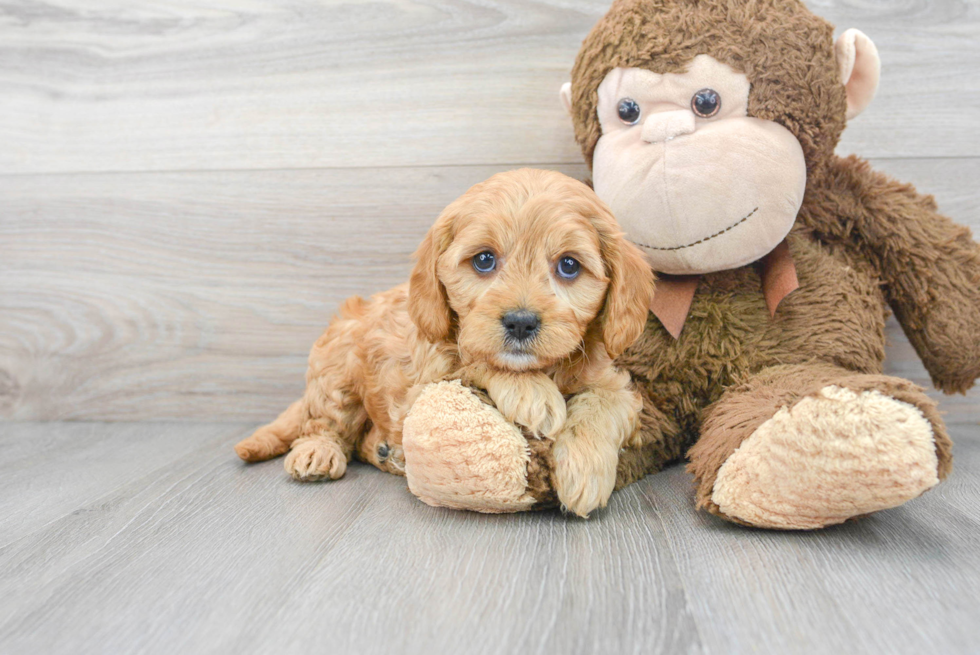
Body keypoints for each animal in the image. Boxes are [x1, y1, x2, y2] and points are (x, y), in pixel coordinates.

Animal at [234, 169, 656, 516]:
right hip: (337, 369)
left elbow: (604, 404)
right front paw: (534, 396)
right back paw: (317, 452)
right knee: (324, 421)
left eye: (569, 265)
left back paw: (386, 453)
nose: (520, 322)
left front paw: (584, 470)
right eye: (484, 260)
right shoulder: (424, 376)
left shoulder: (615, 384)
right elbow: (474, 359)